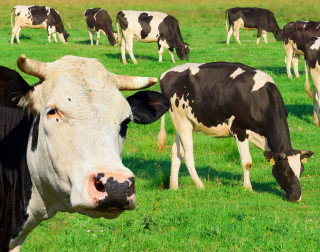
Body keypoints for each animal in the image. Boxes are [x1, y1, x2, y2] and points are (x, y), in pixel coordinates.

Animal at [157, 63, 312, 203]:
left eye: (301, 170)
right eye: (286, 172)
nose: (297, 197)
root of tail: (165, 73)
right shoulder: (240, 130)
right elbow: (247, 162)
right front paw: (248, 187)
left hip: (184, 123)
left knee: (176, 152)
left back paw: (174, 186)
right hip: (181, 120)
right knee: (187, 154)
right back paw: (200, 185)